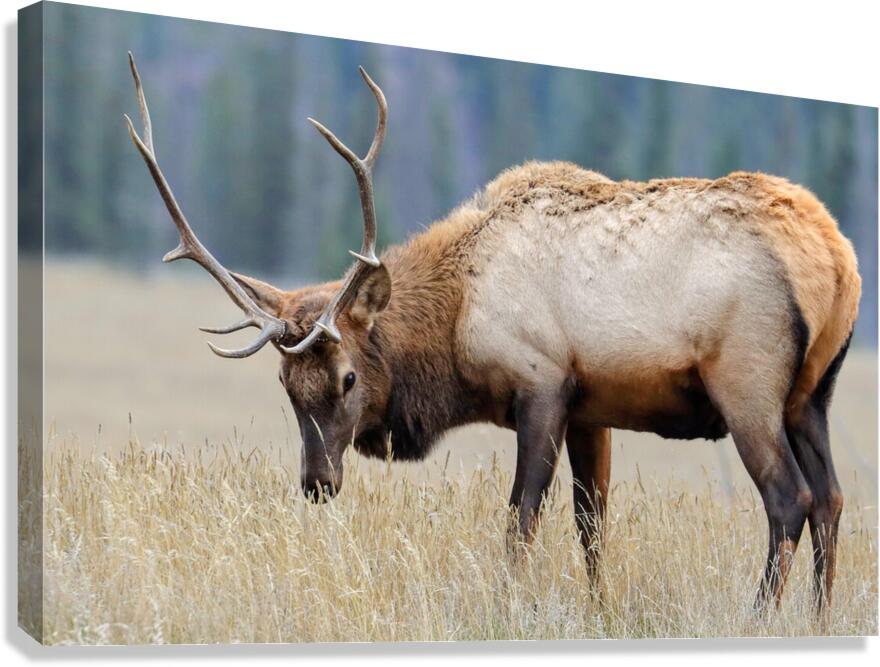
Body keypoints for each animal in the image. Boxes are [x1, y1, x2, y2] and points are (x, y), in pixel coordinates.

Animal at [125, 53, 860, 614]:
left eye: (348, 376)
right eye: (286, 387)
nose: (317, 483)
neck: (457, 320)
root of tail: (837, 258)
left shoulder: (543, 387)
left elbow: (519, 521)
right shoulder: (593, 408)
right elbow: (592, 525)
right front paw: (598, 612)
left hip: (747, 385)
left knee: (789, 499)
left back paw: (760, 614)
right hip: (812, 396)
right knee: (830, 497)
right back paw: (817, 619)